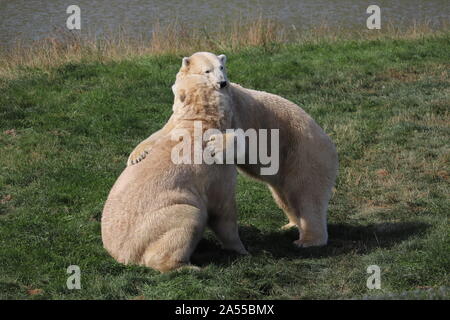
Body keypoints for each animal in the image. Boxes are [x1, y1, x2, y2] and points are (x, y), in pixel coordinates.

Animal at [102, 75, 248, 272]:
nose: (226, 82)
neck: (200, 124)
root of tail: (122, 256)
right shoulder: (217, 170)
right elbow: (223, 212)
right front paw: (242, 250)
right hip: (163, 220)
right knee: (189, 218)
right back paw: (191, 267)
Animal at [128, 52, 340, 248]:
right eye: (207, 70)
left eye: (222, 67)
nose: (222, 83)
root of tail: (329, 143)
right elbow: (164, 131)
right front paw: (136, 156)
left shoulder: (239, 114)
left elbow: (248, 140)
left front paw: (216, 146)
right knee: (285, 197)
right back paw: (290, 225)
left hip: (305, 155)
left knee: (307, 196)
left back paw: (308, 240)